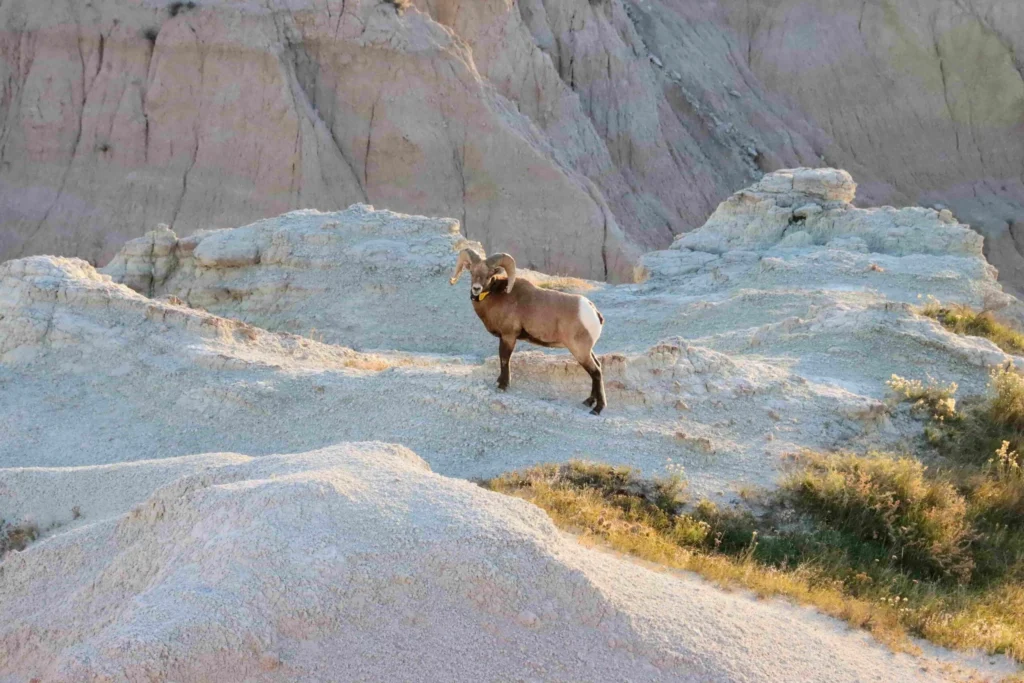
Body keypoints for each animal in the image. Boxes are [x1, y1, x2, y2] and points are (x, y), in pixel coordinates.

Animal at [449, 248, 607, 415]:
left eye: (489, 274)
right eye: (472, 271)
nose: (476, 289)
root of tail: (594, 313)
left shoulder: (508, 337)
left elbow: (505, 359)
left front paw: (502, 386)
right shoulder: (504, 337)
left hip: (579, 351)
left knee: (596, 371)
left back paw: (597, 409)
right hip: (586, 350)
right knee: (597, 368)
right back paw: (588, 402)